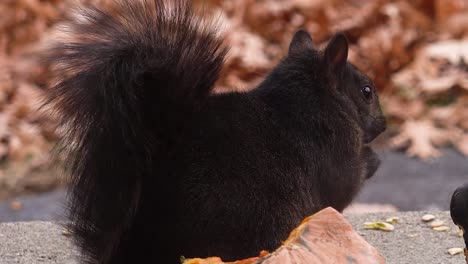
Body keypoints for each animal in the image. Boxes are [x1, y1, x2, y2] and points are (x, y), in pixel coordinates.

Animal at [44, 0, 388, 264]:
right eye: (367, 91)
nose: (384, 124)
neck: (307, 100)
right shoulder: (336, 149)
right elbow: (345, 185)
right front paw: (373, 158)